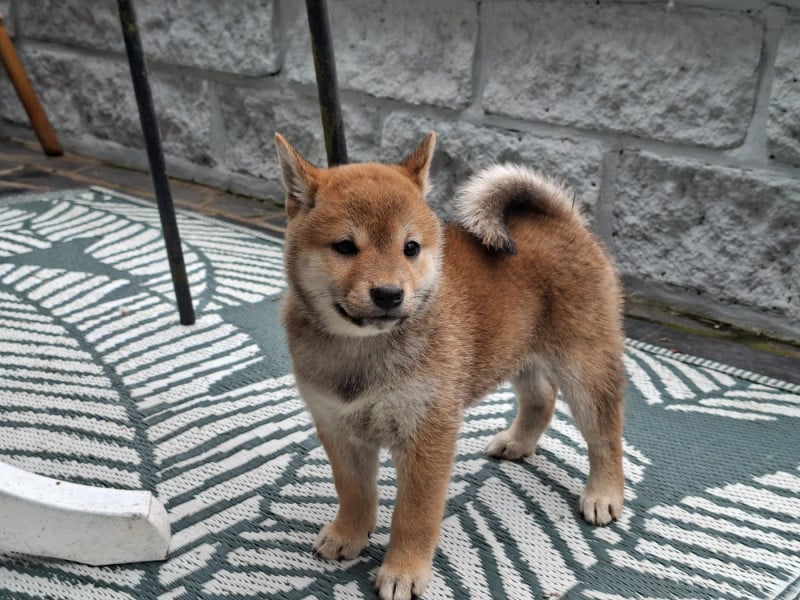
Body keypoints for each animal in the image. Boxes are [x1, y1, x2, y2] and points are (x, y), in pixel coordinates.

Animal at [274, 132, 625, 600]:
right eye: (345, 247)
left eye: (410, 248)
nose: (389, 294)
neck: (363, 349)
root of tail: (562, 222)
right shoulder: (338, 428)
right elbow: (354, 492)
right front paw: (348, 534)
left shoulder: (427, 433)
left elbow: (414, 515)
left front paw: (403, 571)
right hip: (519, 353)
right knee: (541, 399)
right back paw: (518, 442)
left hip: (585, 366)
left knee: (605, 434)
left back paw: (604, 493)